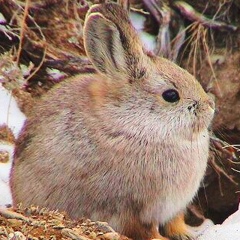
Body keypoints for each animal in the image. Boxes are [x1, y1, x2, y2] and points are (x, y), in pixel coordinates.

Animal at [10, 2, 215, 240]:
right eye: (171, 95)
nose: (210, 107)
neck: (137, 124)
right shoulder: (130, 208)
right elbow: (145, 230)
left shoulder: (174, 207)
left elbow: (175, 222)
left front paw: (190, 233)